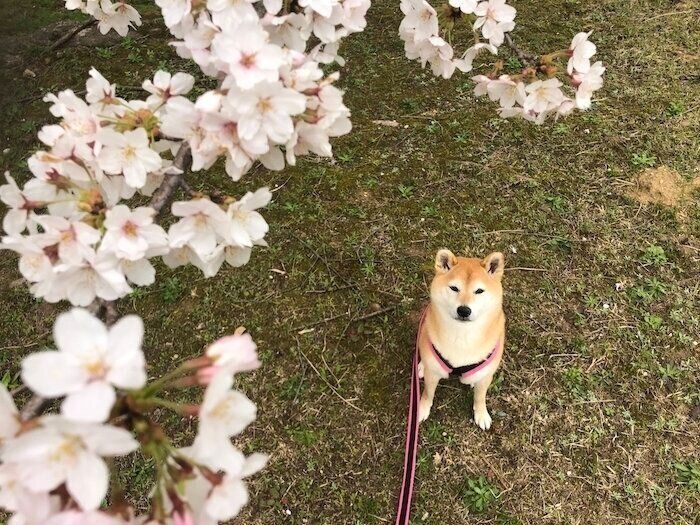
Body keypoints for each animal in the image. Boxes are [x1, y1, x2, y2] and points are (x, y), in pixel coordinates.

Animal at [417, 249, 505, 430]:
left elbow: (480, 397)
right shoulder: (433, 374)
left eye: (479, 291)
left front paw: (481, 413)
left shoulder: (486, 376)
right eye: (454, 288)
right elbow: (428, 393)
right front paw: (422, 409)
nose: (464, 310)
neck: (462, 336)